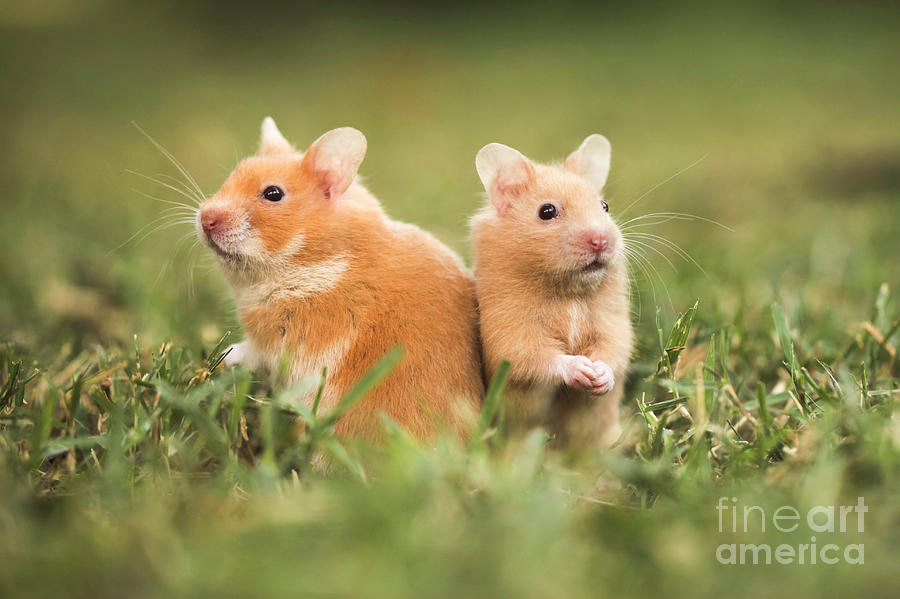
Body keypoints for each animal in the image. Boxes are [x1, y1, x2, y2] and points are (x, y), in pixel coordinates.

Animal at [195, 119, 486, 442]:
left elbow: (250, 351)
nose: (205, 219)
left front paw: (221, 358)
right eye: (233, 175)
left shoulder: (281, 341)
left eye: (273, 193)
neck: (315, 260)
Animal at [472, 134, 632, 448]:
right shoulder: (512, 333)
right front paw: (582, 369)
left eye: (604, 206)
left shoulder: (612, 323)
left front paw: (599, 376)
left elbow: (614, 350)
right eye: (547, 211)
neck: (567, 292)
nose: (601, 241)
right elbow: (538, 358)